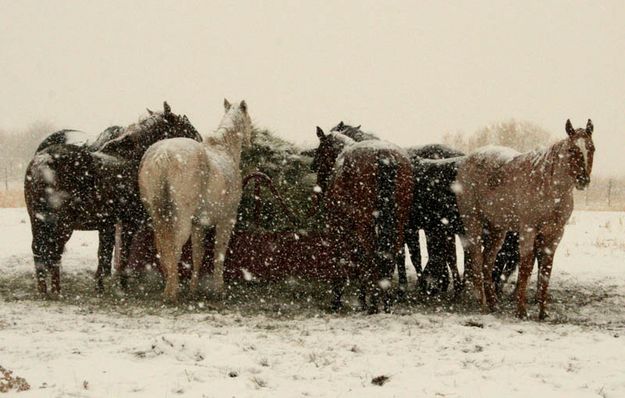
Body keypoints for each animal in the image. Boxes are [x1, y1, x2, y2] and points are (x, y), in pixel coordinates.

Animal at [23, 102, 200, 296]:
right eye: (185, 126)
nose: (200, 142)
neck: (131, 157)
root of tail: (43, 160)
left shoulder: (107, 223)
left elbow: (104, 254)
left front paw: (100, 286)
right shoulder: (128, 222)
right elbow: (123, 255)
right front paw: (122, 286)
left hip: (38, 220)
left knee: (39, 250)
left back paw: (43, 289)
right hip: (61, 224)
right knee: (53, 251)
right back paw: (55, 290)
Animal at [138, 99, 251, 302]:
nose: (250, 140)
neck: (223, 150)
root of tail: (163, 154)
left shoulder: (199, 224)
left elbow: (198, 254)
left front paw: (193, 289)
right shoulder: (226, 220)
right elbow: (218, 253)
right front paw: (219, 290)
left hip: (158, 217)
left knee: (162, 246)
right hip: (180, 220)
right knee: (174, 247)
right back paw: (172, 292)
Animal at [312, 127, 414, 314]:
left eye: (321, 151)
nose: (318, 192)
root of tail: (385, 154)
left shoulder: (339, 227)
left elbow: (343, 258)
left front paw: (338, 299)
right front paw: (361, 298)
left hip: (366, 224)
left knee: (373, 254)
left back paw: (374, 303)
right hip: (397, 224)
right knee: (392, 254)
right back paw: (386, 301)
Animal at [454, 119, 596, 320]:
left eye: (591, 148)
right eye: (571, 150)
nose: (583, 180)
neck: (548, 187)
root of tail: (466, 161)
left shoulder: (555, 233)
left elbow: (546, 270)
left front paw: (543, 313)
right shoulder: (528, 230)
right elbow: (526, 266)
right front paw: (521, 311)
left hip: (497, 229)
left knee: (487, 262)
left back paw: (493, 304)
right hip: (473, 222)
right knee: (476, 260)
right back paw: (482, 305)